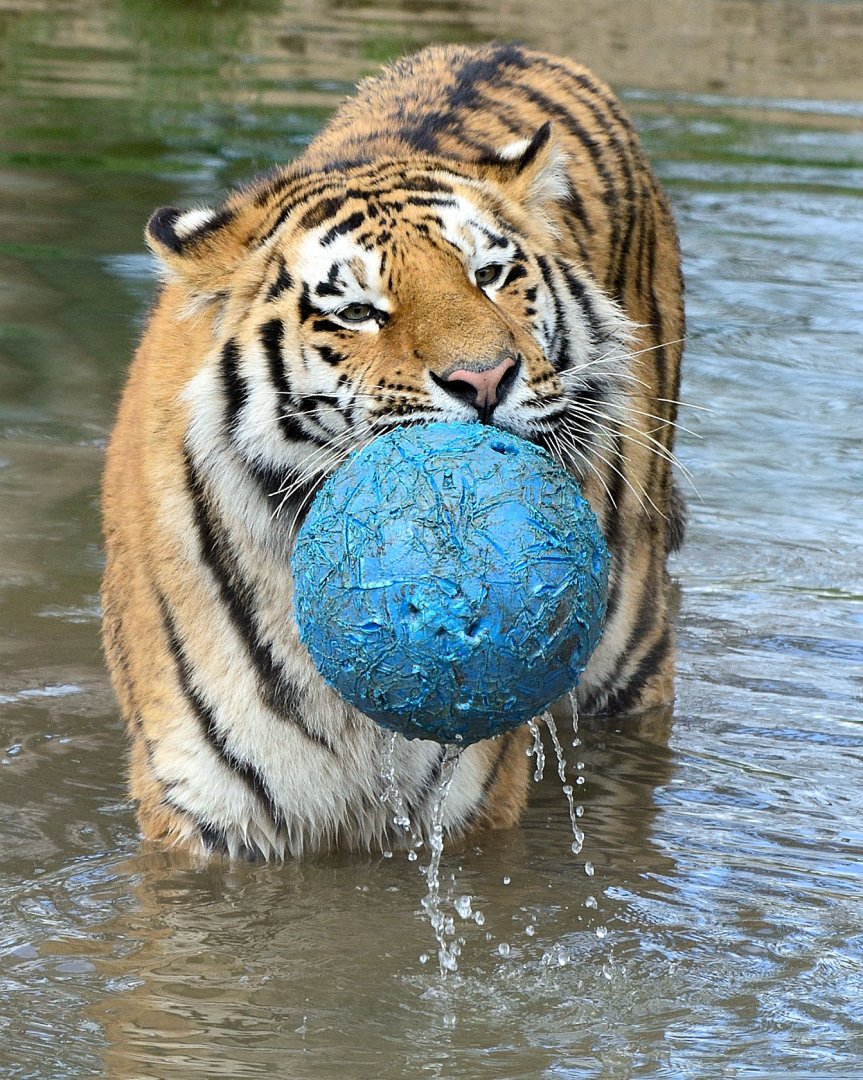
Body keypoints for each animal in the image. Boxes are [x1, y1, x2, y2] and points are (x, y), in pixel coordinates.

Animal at [101, 41, 686, 860]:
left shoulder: (470, 803)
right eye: (356, 312)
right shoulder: (203, 810)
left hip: (629, 642)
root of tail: (507, 47)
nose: (485, 379)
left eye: (489, 275)